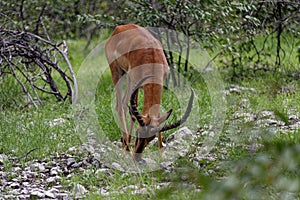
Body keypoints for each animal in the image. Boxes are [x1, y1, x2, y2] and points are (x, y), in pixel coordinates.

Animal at [105, 23, 195, 162]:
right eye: (138, 133)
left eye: (150, 138)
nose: (137, 157)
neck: (151, 56)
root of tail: (119, 28)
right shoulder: (135, 82)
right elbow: (133, 112)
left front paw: (161, 152)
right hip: (117, 72)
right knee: (121, 106)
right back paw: (126, 148)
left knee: (125, 105)